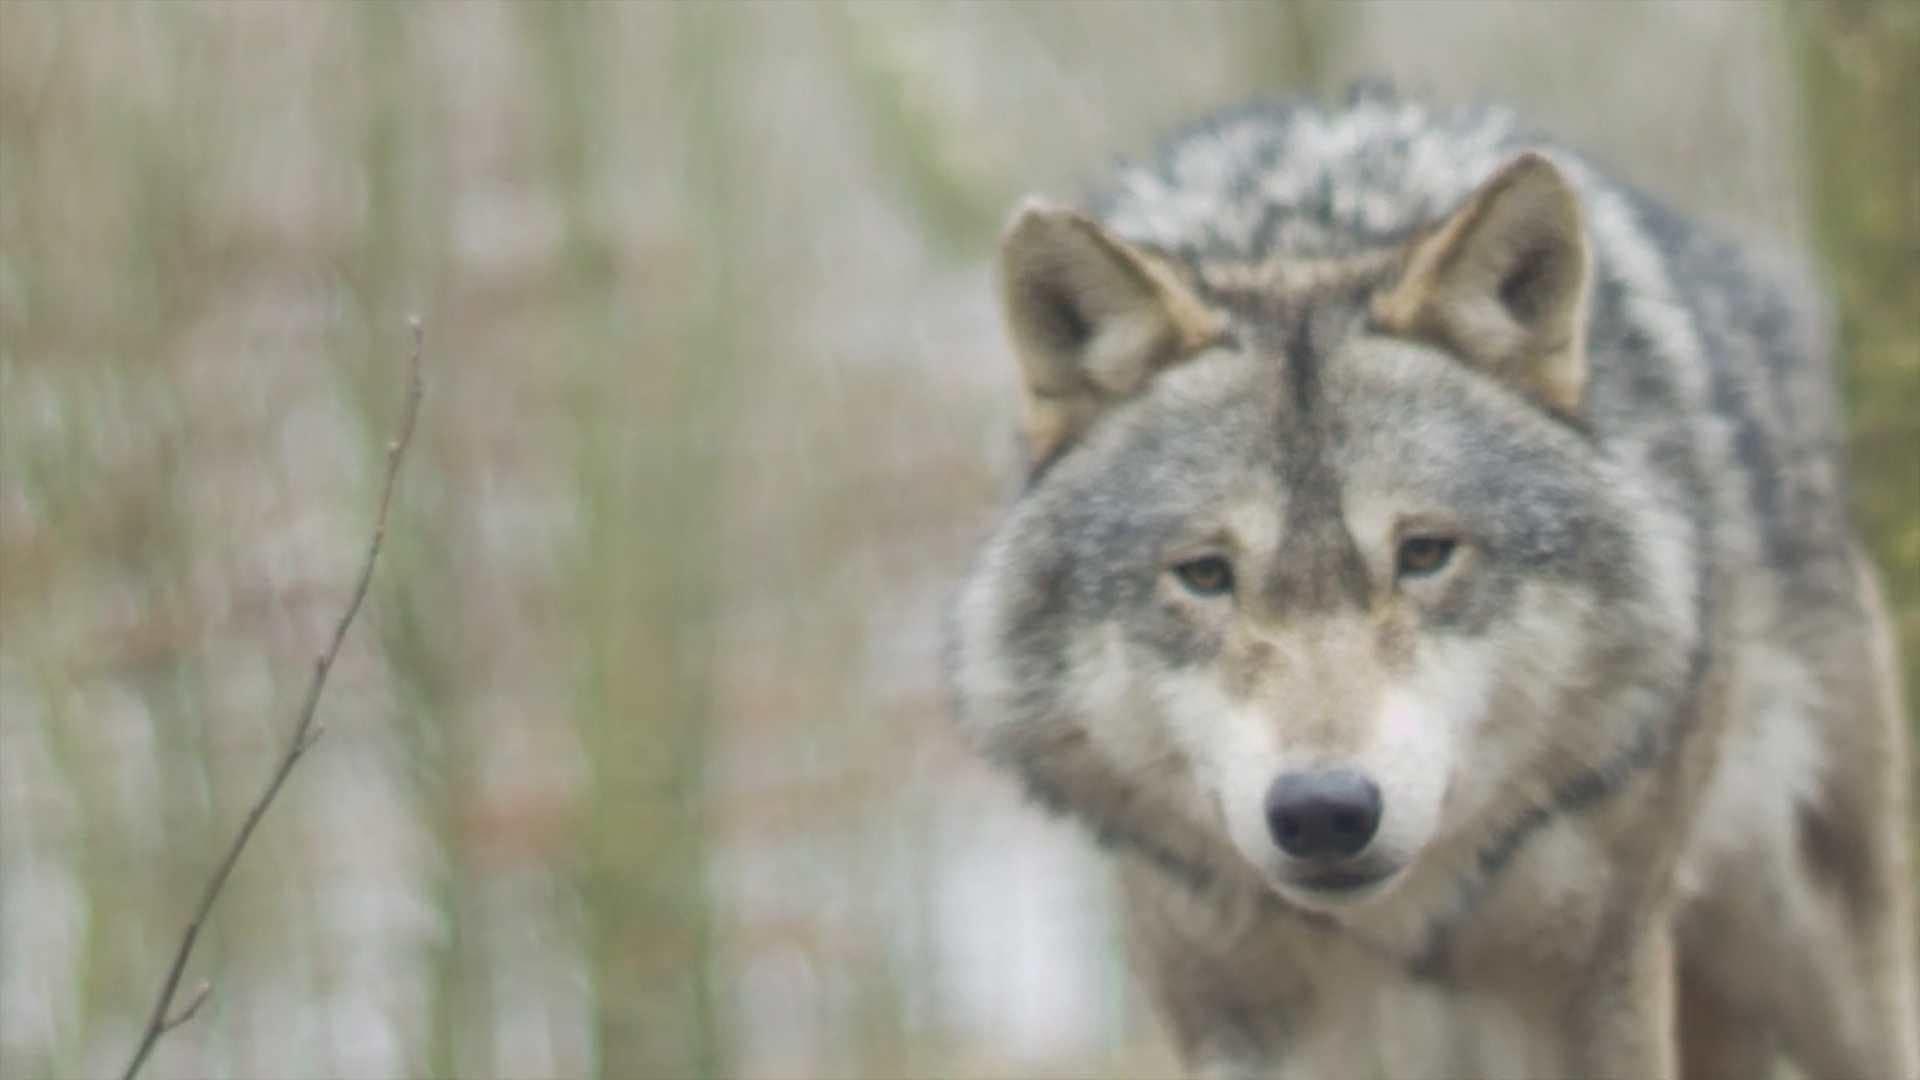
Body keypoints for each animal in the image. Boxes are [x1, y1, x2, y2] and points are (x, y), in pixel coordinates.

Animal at [944, 88, 1920, 1076]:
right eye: (1206, 575)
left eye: (1423, 554)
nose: (1324, 812)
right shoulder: (1240, 1016)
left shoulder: (1594, 983)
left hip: (1815, 956)